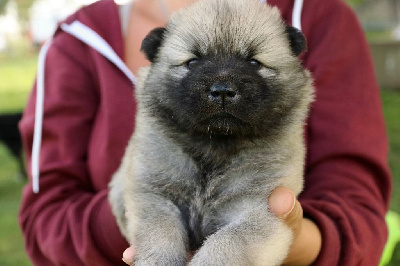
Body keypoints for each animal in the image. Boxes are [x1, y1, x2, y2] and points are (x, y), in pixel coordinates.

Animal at [108, 0, 312, 264]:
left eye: (253, 63)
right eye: (193, 62)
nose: (222, 90)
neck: (214, 145)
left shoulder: (257, 208)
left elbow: (228, 242)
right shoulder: (154, 194)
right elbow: (161, 232)